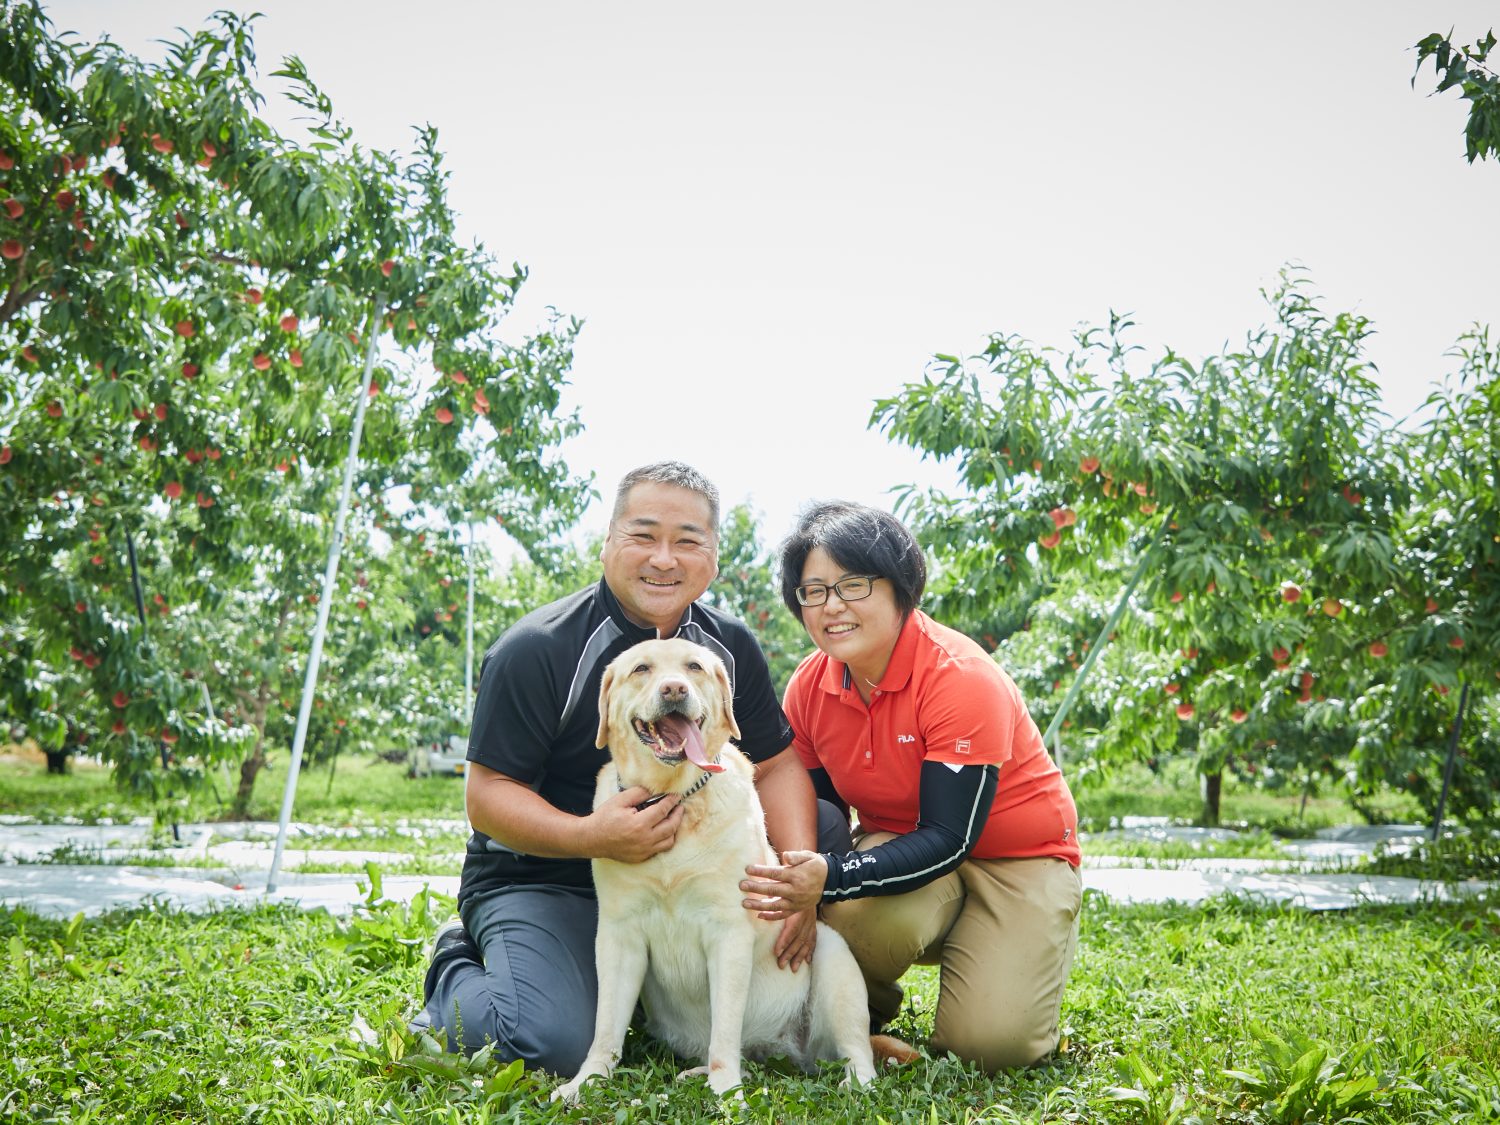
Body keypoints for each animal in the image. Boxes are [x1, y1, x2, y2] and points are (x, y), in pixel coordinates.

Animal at [558, 639, 876, 1104]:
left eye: (694, 667)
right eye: (641, 669)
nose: (674, 689)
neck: (673, 799)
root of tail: (777, 1048)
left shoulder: (728, 932)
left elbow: (725, 1027)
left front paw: (728, 1093)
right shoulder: (619, 934)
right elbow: (605, 1027)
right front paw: (587, 1081)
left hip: (834, 959)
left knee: (856, 1049)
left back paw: (857, 1083)